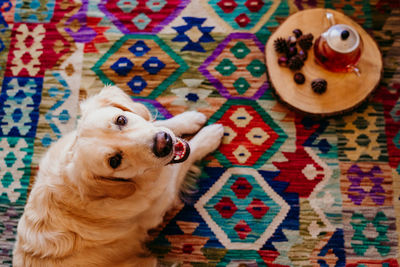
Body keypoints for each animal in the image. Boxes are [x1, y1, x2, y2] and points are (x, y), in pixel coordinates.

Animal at [13, 86, 225, 267]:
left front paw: (190, 118)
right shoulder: (162, 200)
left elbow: (158, 122)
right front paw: (210, 135)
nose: (163, 143)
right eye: (115, 161)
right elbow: (187, 156)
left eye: (121, 120)